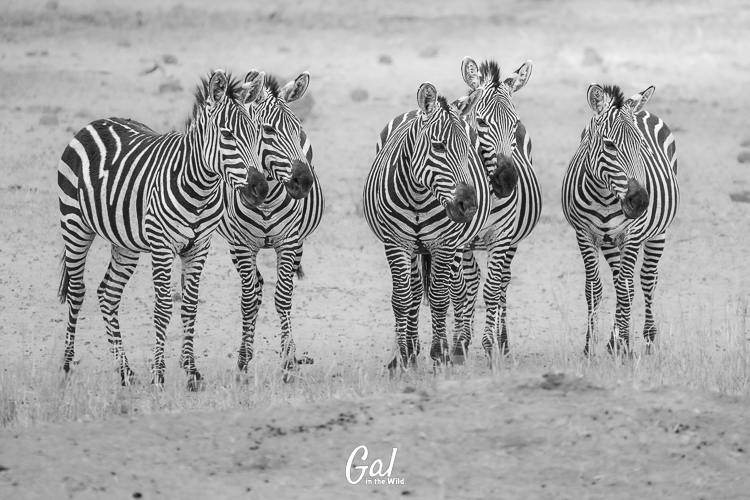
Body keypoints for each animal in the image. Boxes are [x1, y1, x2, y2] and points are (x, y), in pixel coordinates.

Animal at [57, 69, 269, 387]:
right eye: (227, 135)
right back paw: (67, 365)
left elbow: (190, 306)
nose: (260, 188)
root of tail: (96, 122)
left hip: (125, 243)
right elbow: (163, 307)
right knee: (76, 290)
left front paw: (191, 371)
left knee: (108, 294)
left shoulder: (199, 246)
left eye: (256, 134)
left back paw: (125, 370)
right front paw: (158, 373)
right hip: (74, 224)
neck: (200, 187)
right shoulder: (162, 246)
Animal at [216, 72, 324, 376]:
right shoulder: (242, 245)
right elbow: (248, 300)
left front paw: (289, 358)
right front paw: (243, 359)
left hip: (299, 241)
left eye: (297, 129)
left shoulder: (288, 242)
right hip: (234, 248)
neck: (266, 201)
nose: (304, 182)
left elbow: (283, 298)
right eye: (267, 130)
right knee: (256, 289)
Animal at [364, 82, 491, 369]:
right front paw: (401, 355)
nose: (469, 206)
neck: (419, 195)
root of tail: (414, 110)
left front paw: (439, 353)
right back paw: (412, 348)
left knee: (461, 286)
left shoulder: (444, 244)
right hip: (414, 248)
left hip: (457, 245)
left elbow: (440, 298)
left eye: (468, 150)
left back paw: (457, 347)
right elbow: (402, 298)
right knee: (415, 290)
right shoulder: (396, 243)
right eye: (439, 147)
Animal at [453, 58, 541, 362]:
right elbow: (464, 288)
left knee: (502, 281)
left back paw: (502, 341)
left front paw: (490, 344)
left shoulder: (502, 237)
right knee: (474, 281)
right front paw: (460, 343)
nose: (508, 181)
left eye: (515, 124)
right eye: (480, 122)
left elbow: (492, 290)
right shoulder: (461, 240)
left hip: (512, 240)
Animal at [562, 84, 679, 354]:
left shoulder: (632, 236)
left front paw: (624, 347)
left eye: (642, 147)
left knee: (647, 280)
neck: (605, 197)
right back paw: (614, 340)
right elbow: (594, 289)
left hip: (658, 233)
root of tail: (640, 109)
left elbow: (627, 289)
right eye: (610, 146)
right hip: (609, 241)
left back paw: (648, 339)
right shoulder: (584, 235)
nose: (641, 202)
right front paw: (591, 347)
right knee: (619, 281)